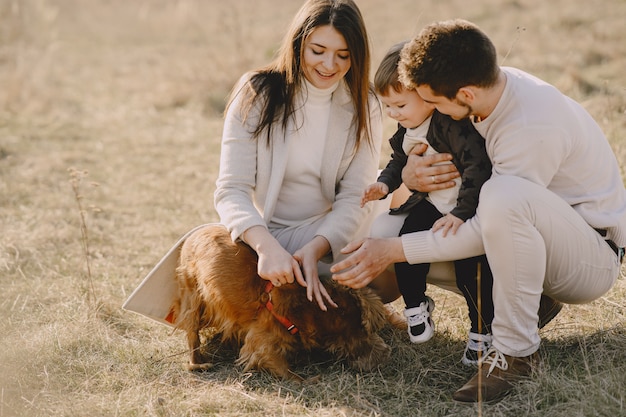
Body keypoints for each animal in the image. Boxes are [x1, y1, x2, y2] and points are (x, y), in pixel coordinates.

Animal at [172, 224, 390, 380]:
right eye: (369, 334)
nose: (386, 355)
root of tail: (194, 233)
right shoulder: (261, 343)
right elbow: (286, 371)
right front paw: (306, 380)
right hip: (193, 296)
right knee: (192, 334)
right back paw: (198, 363)